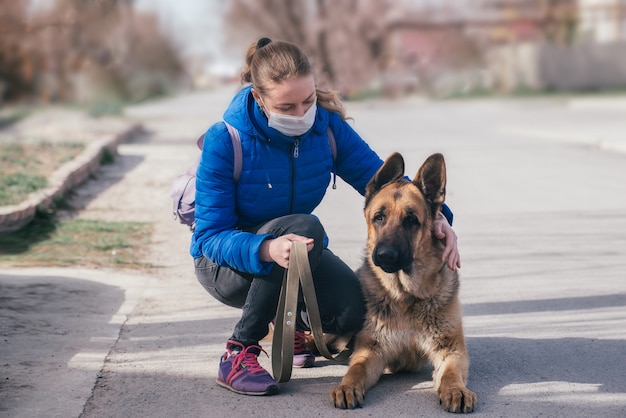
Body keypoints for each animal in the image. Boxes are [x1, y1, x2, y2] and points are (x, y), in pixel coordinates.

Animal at [332, 153, 472, 412]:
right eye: (379, 217)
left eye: (411, 220)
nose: (385, 255)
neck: (406, 296)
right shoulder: (370, 351)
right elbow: (355, 370)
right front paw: (346, 386)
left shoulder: (451, 351)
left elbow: (450, 374)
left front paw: (455, 390)